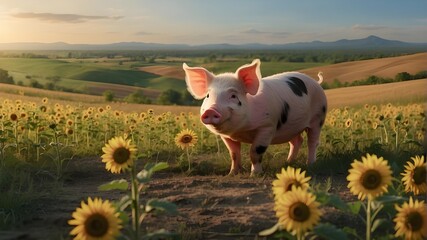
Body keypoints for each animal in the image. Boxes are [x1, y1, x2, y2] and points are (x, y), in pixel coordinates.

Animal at [183, 58, 328, 174]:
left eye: (233, 96)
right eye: (208, 96)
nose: (211, 110)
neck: (240, 131)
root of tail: (317, 82)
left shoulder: (267, 126)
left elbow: (255, 151)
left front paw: (255, 174)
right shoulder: (227, 136)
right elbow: (234, 154)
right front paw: (232, 173)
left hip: (318, 117)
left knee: (312, 142)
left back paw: (310, 165)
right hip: (291, 127)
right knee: (297, 141)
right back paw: (288, 163)